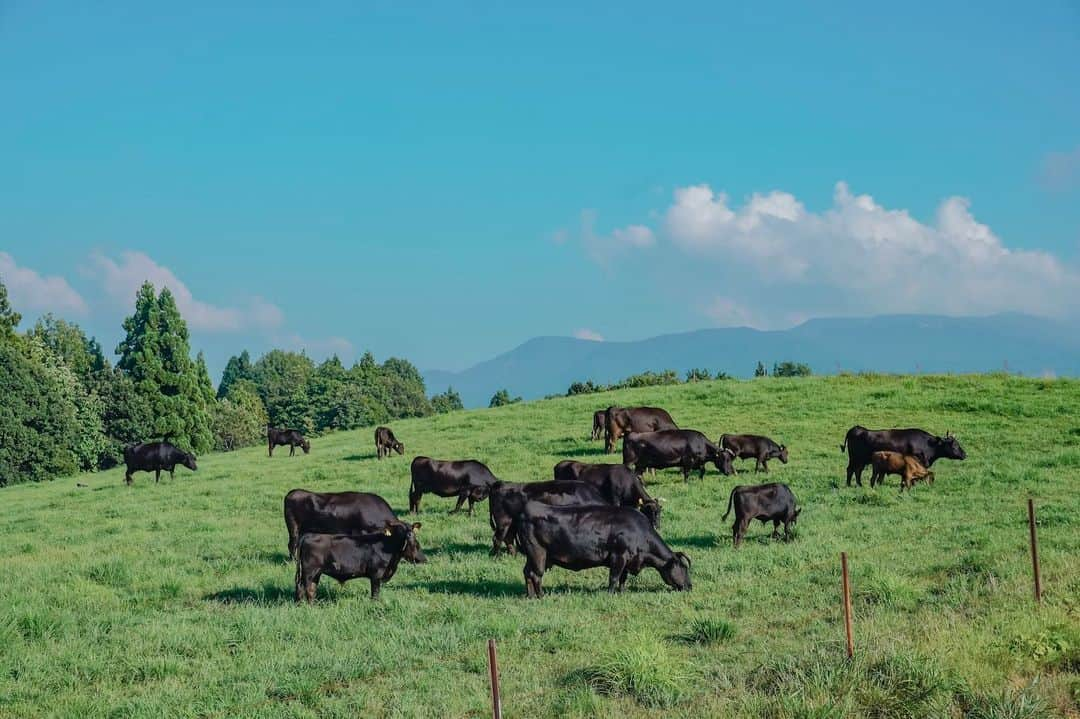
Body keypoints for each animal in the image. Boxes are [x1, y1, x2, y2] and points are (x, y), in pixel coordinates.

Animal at [285, 487, 419, 561]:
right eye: (405, 539)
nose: (416, 558)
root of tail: (293, 492)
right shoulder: (361, 532)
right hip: (294, 528)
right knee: (292, 544)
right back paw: (293, 561)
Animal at [300, 518, 429, 600]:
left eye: (410, 530)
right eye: (399, 531)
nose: (409, 536)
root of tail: (309, 535)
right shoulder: (376, 575)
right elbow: (375, 594)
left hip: (316, 574)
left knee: (311, 590)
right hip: (309, 572)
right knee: (304, 589)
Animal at [514, 498, 691, 591]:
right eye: (684, 568)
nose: (690, 586)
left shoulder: (627, 560)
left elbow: (623, 578)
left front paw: (622, 592)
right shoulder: (619, 556)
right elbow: (614, 577)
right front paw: (611, 594)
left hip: (532, 556)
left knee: (527, 573)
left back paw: (531, 596)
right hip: (538, 554)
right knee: (536, 575)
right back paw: (541, 596)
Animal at [838, 425, 967, 487]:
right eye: (954, 445)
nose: (965, 454)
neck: (927, 444)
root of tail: (857, 428)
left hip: (861, 461)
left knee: (857, 471)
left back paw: (859, 485)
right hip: (855, 459)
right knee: (850, 470)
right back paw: (849, 485)